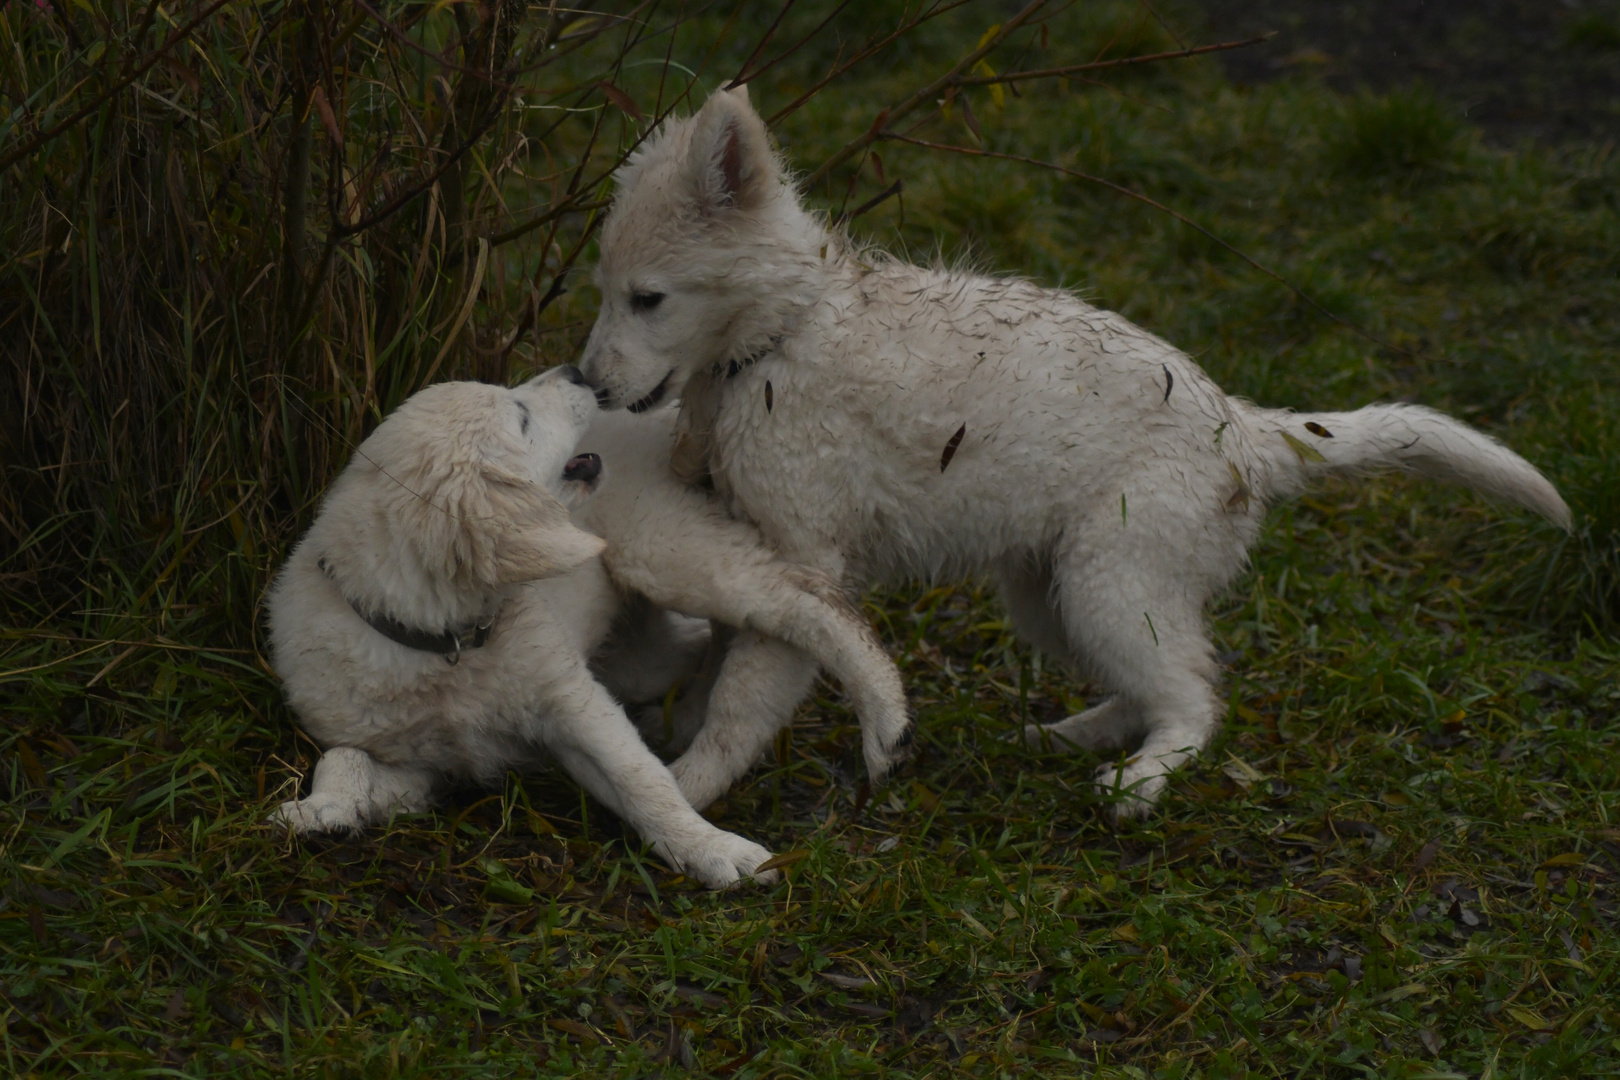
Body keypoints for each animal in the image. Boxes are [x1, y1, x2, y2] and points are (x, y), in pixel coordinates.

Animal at [270, 365, 913, 887]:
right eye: (522, 417)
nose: (578, 371)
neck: (446, 644)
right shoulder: (423, 767)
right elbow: (344, 755)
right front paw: (324, 809)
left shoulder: (571, 704)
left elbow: (642, 781)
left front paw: (715, 850)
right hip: (641, 651)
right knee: (705, 643)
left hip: (668, 549)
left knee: (807, 601)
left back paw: (887, 724)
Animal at [579, 88, 1568, 822]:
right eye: (605, 291)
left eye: (647, 298)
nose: (588, 383)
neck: (780, 337)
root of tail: (1248, 432)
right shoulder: (748, 542)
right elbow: (717, 664)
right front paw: (677, 743)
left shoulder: (804, 559)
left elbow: (744, 694)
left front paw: (686, 788)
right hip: (1051, 588)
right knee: (1149, 685)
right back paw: (1071, 737)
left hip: (1111, 577)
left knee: (1193, 695)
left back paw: (1141, 781)